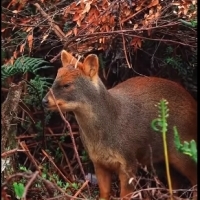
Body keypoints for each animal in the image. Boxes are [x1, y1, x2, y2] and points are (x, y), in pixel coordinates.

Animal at [42, 50, 197, 200]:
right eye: (56, 78)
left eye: (67, 84)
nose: (44, 100)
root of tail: (193, 103)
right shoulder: (98, 163)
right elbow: (104, 193)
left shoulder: (129, 163)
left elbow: (125, 195)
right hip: (159, 159)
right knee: (175, 182)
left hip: (182, 151)